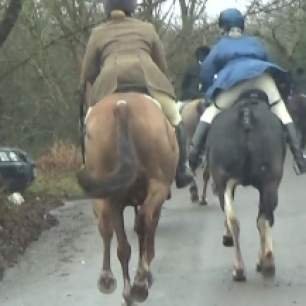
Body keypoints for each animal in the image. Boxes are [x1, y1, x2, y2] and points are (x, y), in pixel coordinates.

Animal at [76, 93, 178, 306]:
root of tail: (122, 106)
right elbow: (145, 235)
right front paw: (144, 276)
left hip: (111, 195)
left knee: (118, 239)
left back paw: (114, 282)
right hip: (156, 186)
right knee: (142, 224)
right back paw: (138, 284)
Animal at [207, 93, 286, 282]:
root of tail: (246, 114)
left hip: (225, 180)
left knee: (236, 220)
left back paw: (241, 268)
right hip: (269, 181)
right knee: (264, 217)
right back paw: (267, 262)